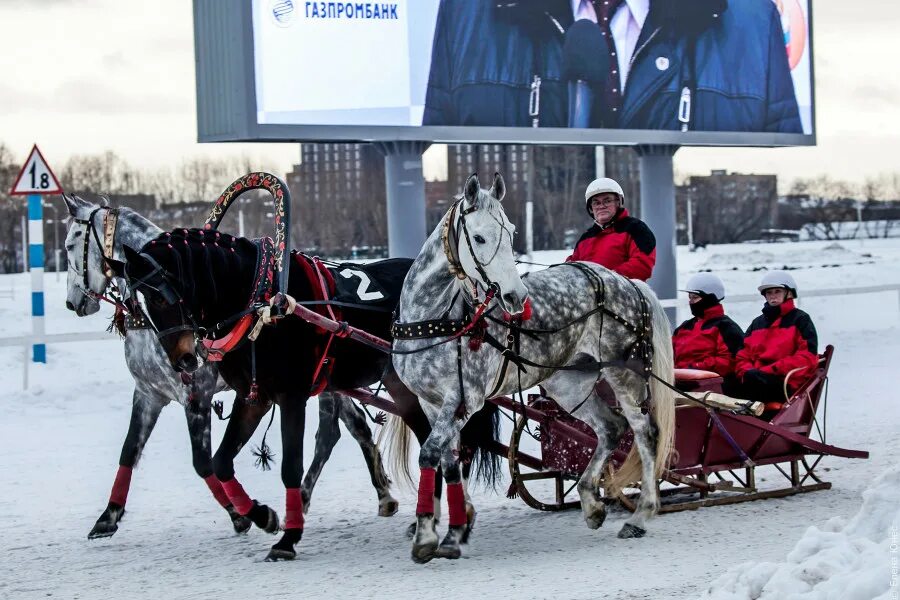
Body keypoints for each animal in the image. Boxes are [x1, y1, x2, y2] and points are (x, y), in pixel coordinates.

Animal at [121, 227, 500, 560]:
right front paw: (262, 515)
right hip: (404, 389)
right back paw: (441, 515)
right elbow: (221, 462)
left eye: (159, 295)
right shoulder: (253, 397)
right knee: (429, 442)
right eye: (140, 302)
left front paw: (288, 537)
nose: (183, 360)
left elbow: (290, 466)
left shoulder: (292, 397)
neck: (264, 303)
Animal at [394, 172, 676, 564]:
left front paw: (426, 535)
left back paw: (642, 514)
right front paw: (452, 532)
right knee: (610, 428)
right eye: (478, 237)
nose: (516, 297)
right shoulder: (431, 402)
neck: (439, 318)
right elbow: (449, 462)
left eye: (512, 232)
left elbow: (431, 454)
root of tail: (627, 283)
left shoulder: (465, 400)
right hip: (569, 384)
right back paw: (590, 500)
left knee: (644, 432)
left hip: (626, 374)